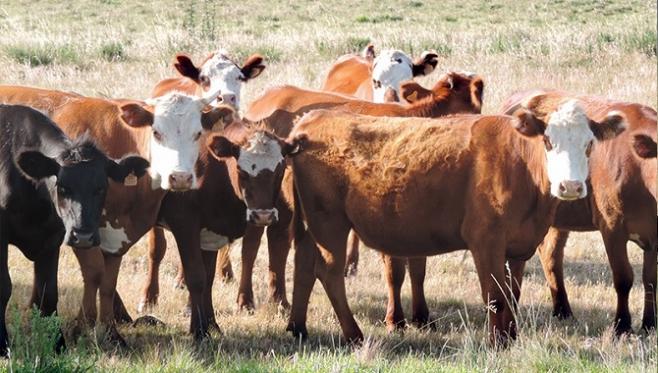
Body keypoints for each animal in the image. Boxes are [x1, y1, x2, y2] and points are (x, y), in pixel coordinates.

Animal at [0, 84, 233, 342]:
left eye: (198, 134)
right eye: (157, 133)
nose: (180, 178)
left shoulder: (113, 237)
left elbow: (108, 283)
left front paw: (111, 332)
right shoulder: (83, 232)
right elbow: (94, 274)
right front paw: (82, 326)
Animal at [284, 94, 624, 344]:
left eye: (589, 144)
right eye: (549, 141)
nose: (571, 186)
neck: (519, 164)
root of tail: (309, 121)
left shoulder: (518, 245)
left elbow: (512, 294)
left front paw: (511, 336)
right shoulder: (485, 242)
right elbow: (495, 296)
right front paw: (497, 343)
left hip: (310, 227)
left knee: (303, 266)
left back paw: (297, 328)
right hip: (329, 225)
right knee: (328, 273)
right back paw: (354, 335)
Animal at [500, 91, 652, 334]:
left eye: (590, 143)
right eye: (547, 142)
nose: (570, 186)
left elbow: (650, 280)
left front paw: (649, 325)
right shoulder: (612, 228)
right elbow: (623, 278)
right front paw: (622, 326)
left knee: (551, 256)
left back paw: (563, 310)